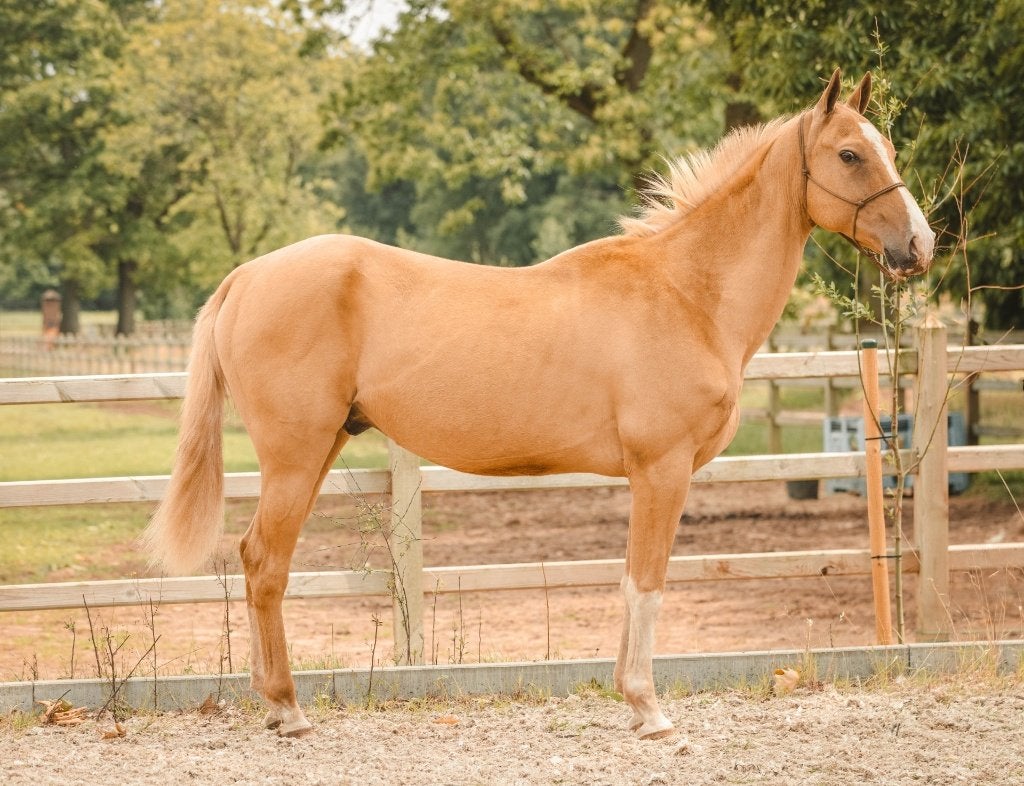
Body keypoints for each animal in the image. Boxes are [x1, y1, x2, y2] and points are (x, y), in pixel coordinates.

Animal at [144, 68, 934, 739]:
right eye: (849, 154)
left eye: (887, 148)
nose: (920, 245)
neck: (686, 293)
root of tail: (247, 276)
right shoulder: (662, 471)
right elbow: (646, 582)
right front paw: (649, 709)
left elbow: (632, 581)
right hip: (296, 455)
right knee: (264, 563)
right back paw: (288, 710)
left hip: (320, 447)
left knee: (257, 562)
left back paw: (273, 706)